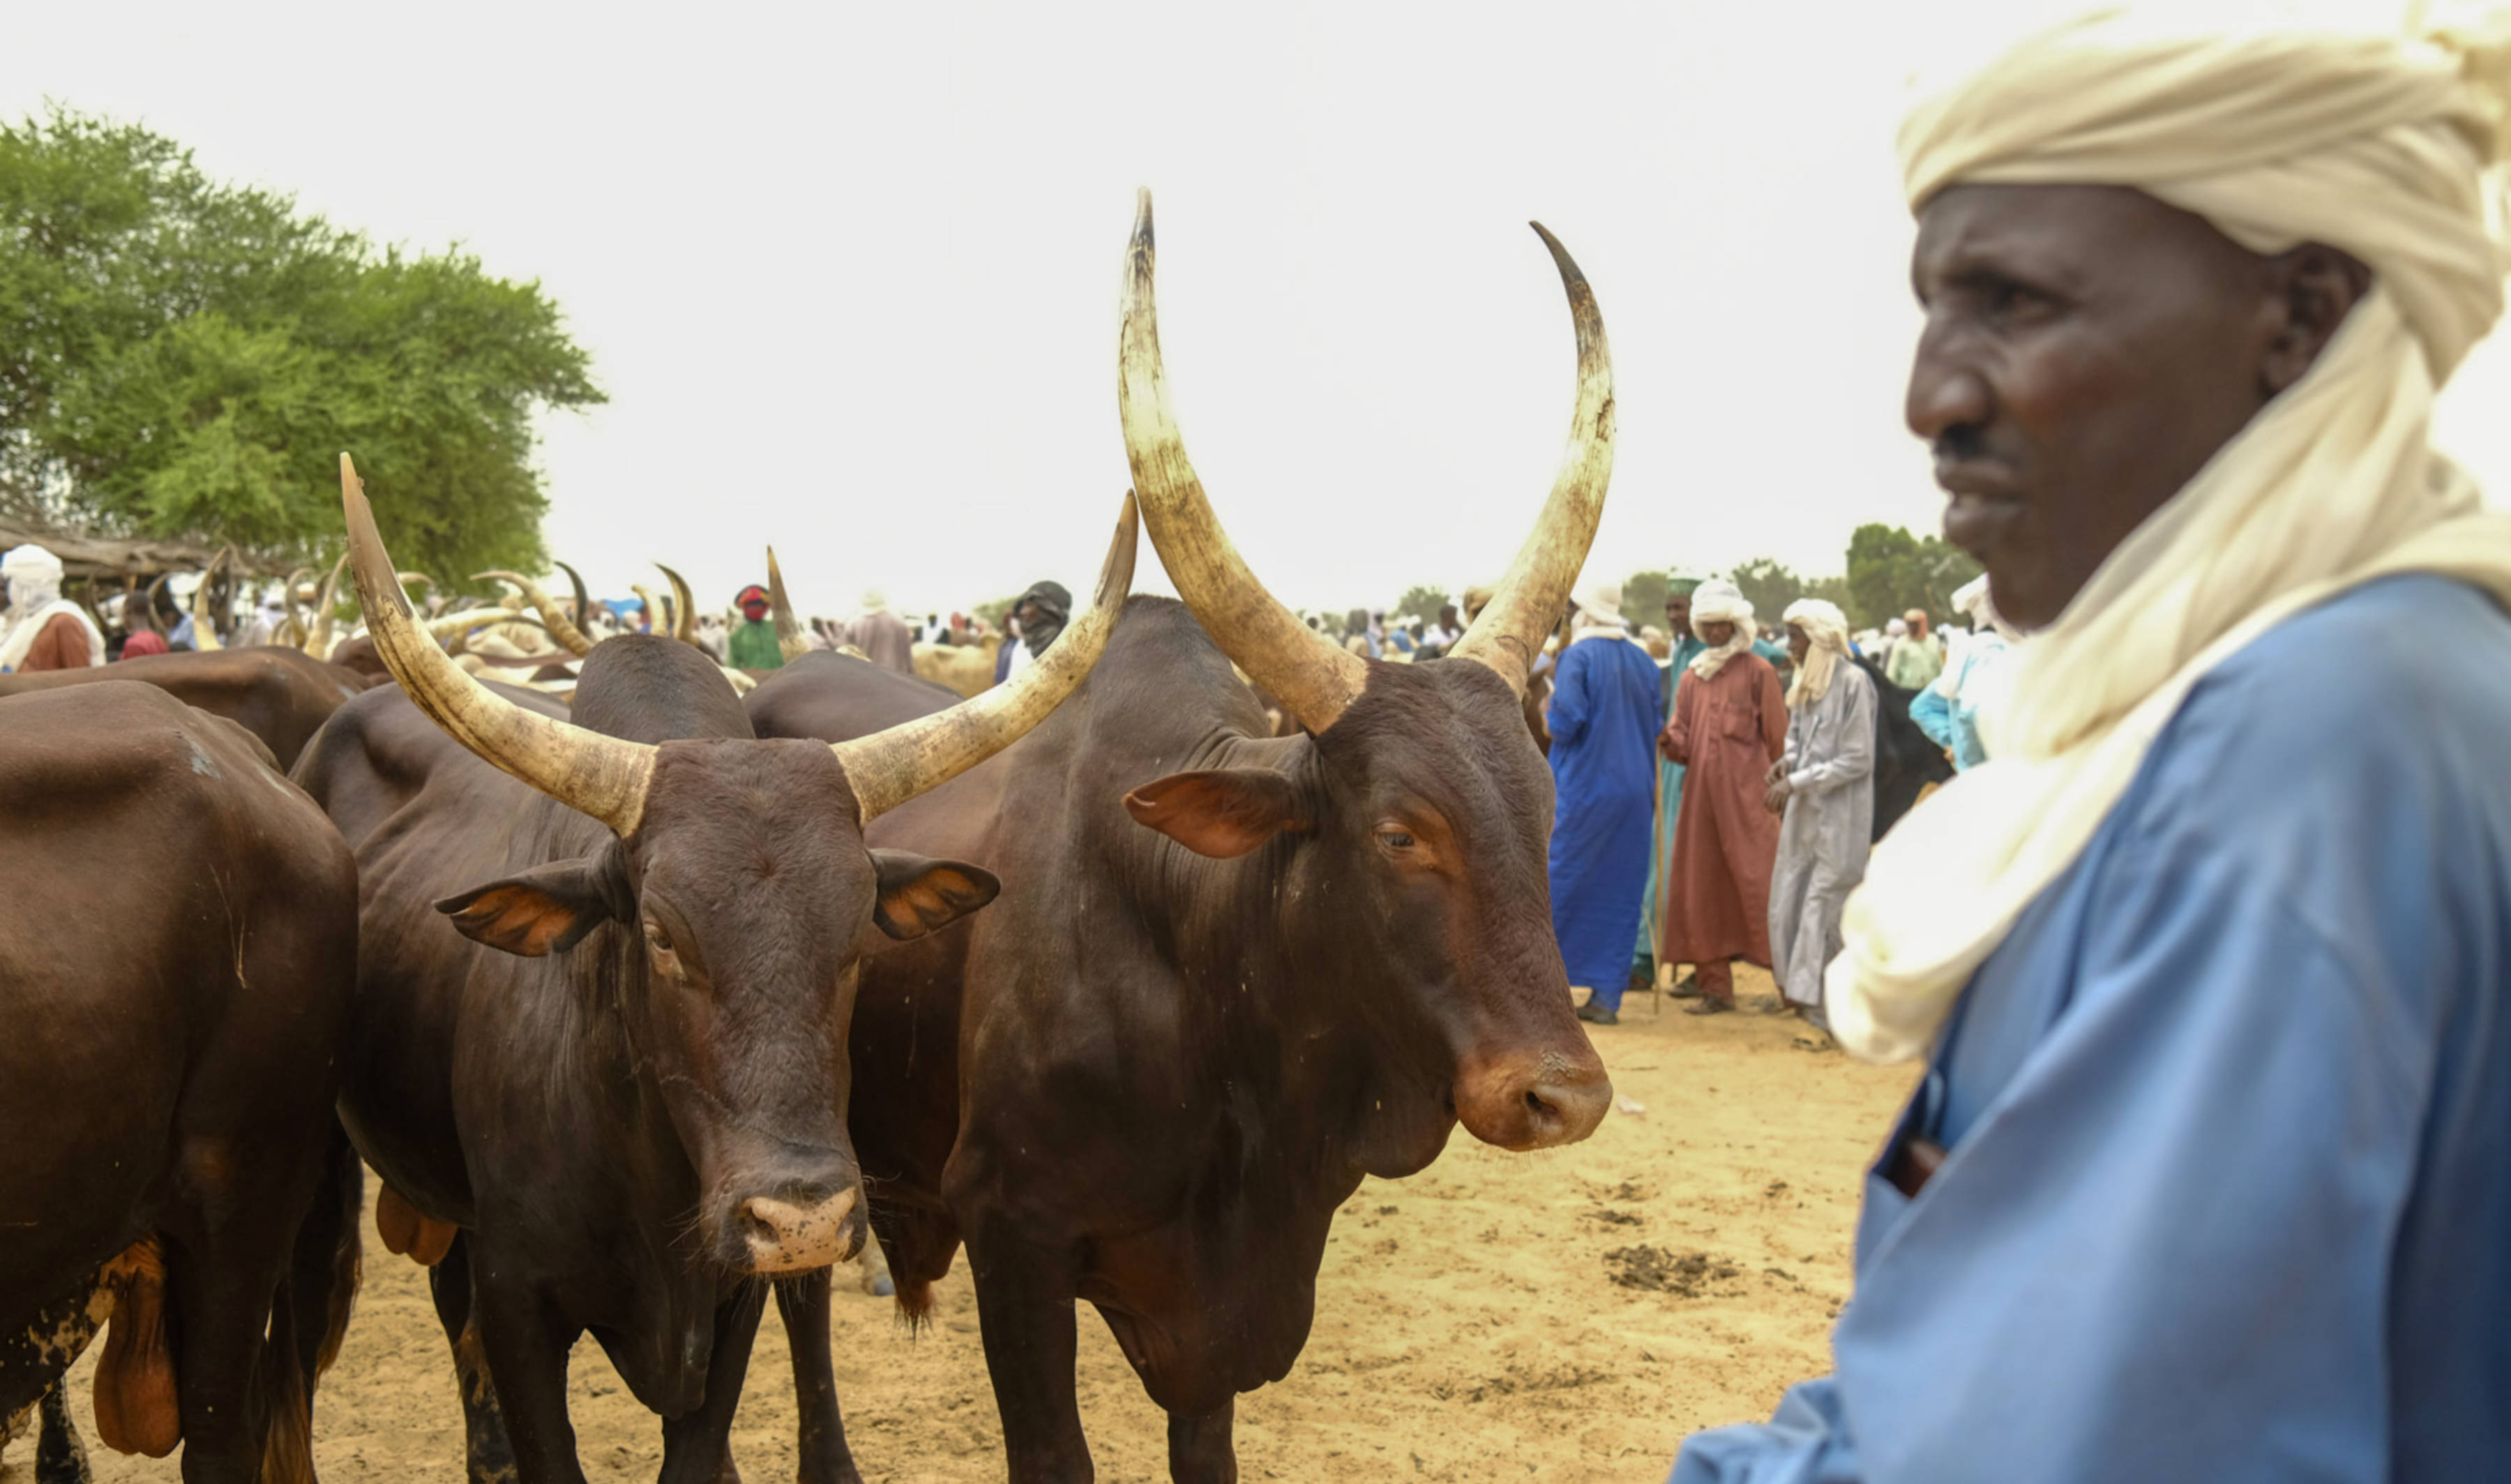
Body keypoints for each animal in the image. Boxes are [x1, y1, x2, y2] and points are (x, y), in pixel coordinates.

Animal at [744, 194, 1617, 1482]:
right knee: (796, 1298)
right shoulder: (1014, 1242)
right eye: (1400, 832)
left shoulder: (1226, 1325)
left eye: (1547, 811)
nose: (1565, 1095)